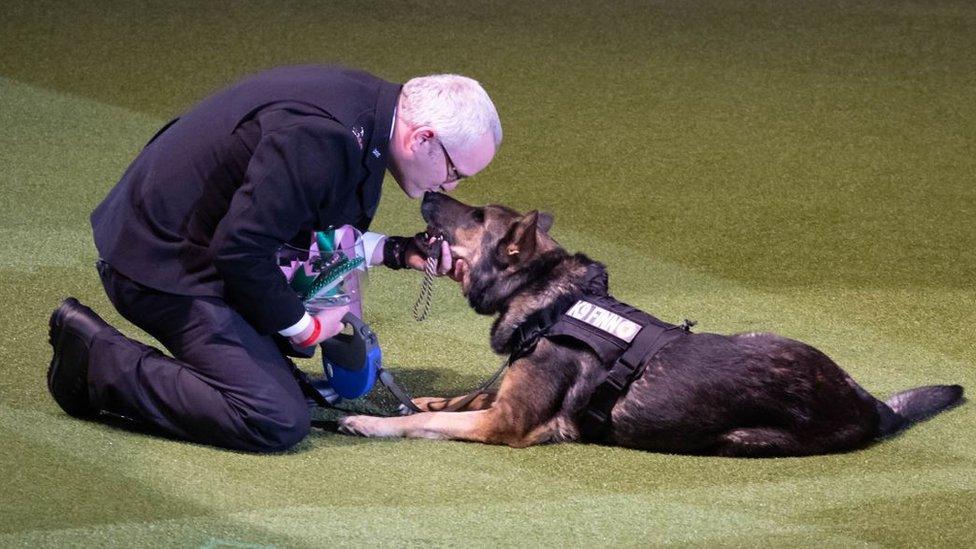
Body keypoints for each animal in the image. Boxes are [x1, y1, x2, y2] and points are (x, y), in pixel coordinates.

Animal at [340, 191, 964, 456]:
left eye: (473, 214)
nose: (426, 189)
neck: (551, 301)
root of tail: (872, 406)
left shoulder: (506, 425)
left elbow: (431, 422)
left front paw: (371, 422)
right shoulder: (502, 392)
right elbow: (462, 397)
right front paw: (420, 400)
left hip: (741, 439)